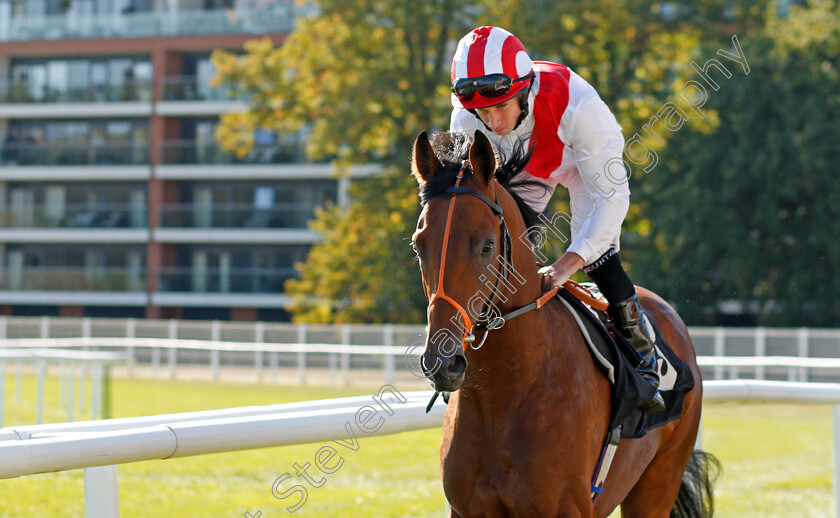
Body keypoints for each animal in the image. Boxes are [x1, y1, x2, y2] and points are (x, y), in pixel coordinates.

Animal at [408, 131, 716, 518]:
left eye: (487, 245)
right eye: (418, 245)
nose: (442, 362)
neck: (506, 392)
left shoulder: (567, 507)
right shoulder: (466, 510)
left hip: (658, 482)